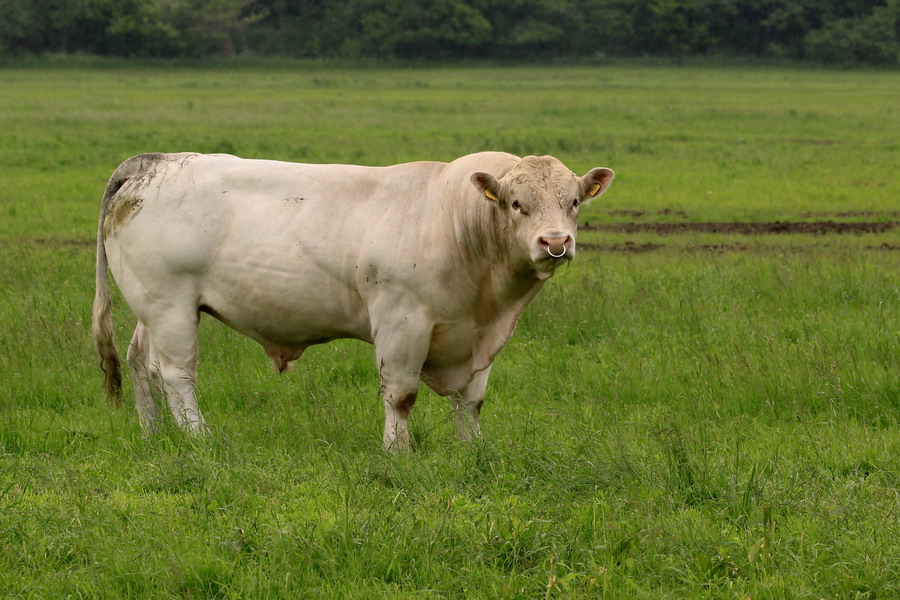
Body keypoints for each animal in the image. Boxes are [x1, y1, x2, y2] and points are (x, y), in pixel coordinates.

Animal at [93, 152, 612, 448]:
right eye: (517, 204)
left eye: (573, 202)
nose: (555, 242)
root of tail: (154, 162)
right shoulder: (402, 321)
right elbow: (401, 394)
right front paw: (397, 451)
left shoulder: (482, 336)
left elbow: (472, 401)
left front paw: (473, 449)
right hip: (170, 303)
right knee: (176, 374)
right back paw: (201, 440)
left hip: (151, 307)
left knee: (140, 361)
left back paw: (152, 433)